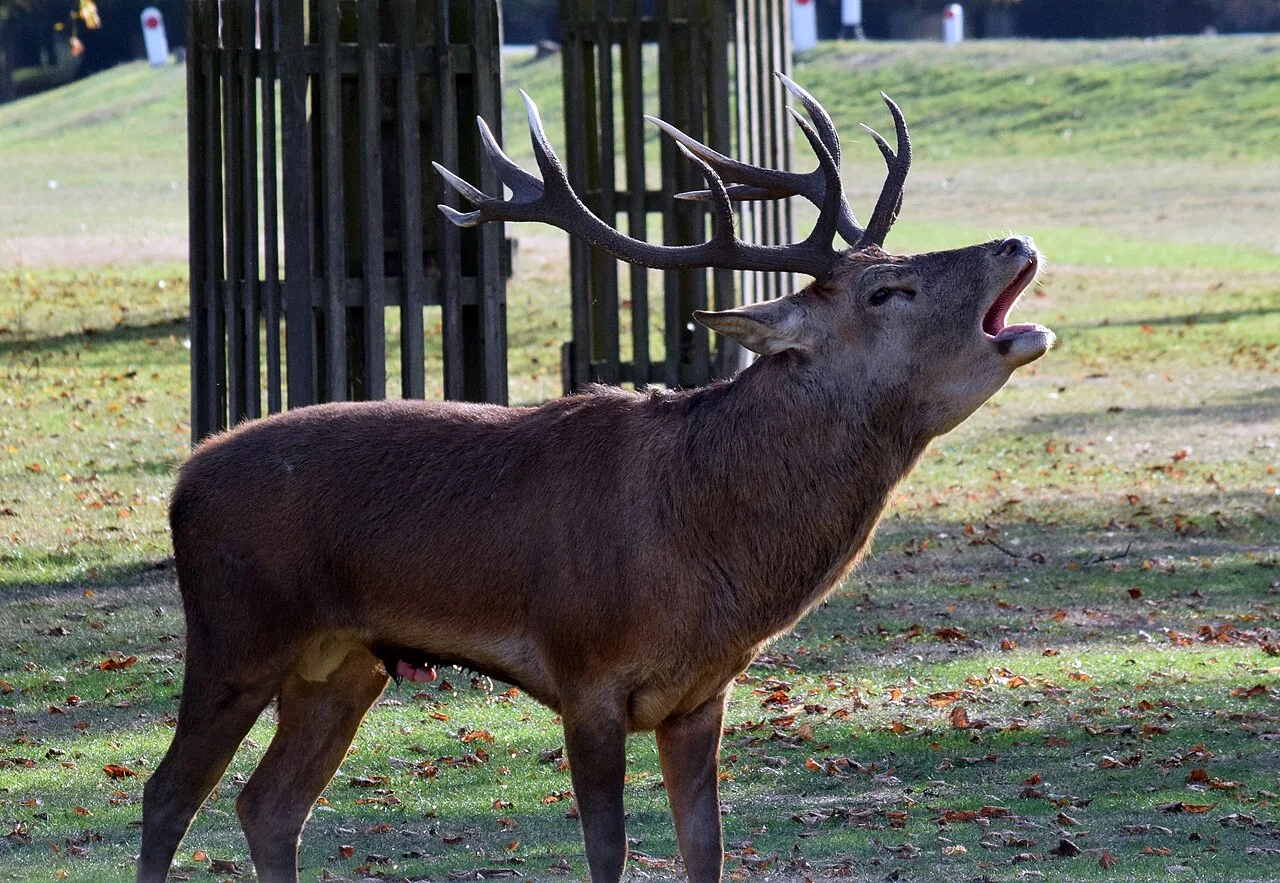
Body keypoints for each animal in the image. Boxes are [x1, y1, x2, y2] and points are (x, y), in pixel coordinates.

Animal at [138, 74, 1053, 883]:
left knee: (268, 805)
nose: (1017, 241)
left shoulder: (702, 696)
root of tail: (180, 486)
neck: (705, 557)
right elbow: (607, 850)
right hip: (235, 633)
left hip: (342, 663)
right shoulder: (584, 671)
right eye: (886, 289)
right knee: (168, 793)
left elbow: (706, 851)